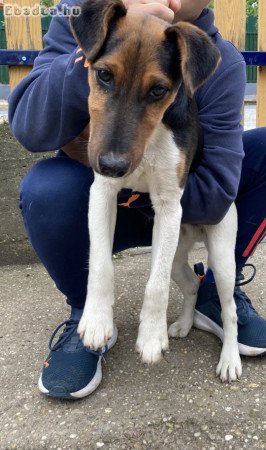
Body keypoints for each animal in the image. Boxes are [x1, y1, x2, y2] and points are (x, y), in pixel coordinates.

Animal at [70, 0, 241, 384]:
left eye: (158, 91)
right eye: (103, 75)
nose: (113, 165)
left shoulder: (169, 205)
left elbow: (155, 286)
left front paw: (151, 337)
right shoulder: (102, 193)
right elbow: (100, 264)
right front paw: (97, 321)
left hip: (222, 254)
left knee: (230, 309)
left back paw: (230, 359)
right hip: (176, 252)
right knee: (191, 283)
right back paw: (182, 324)